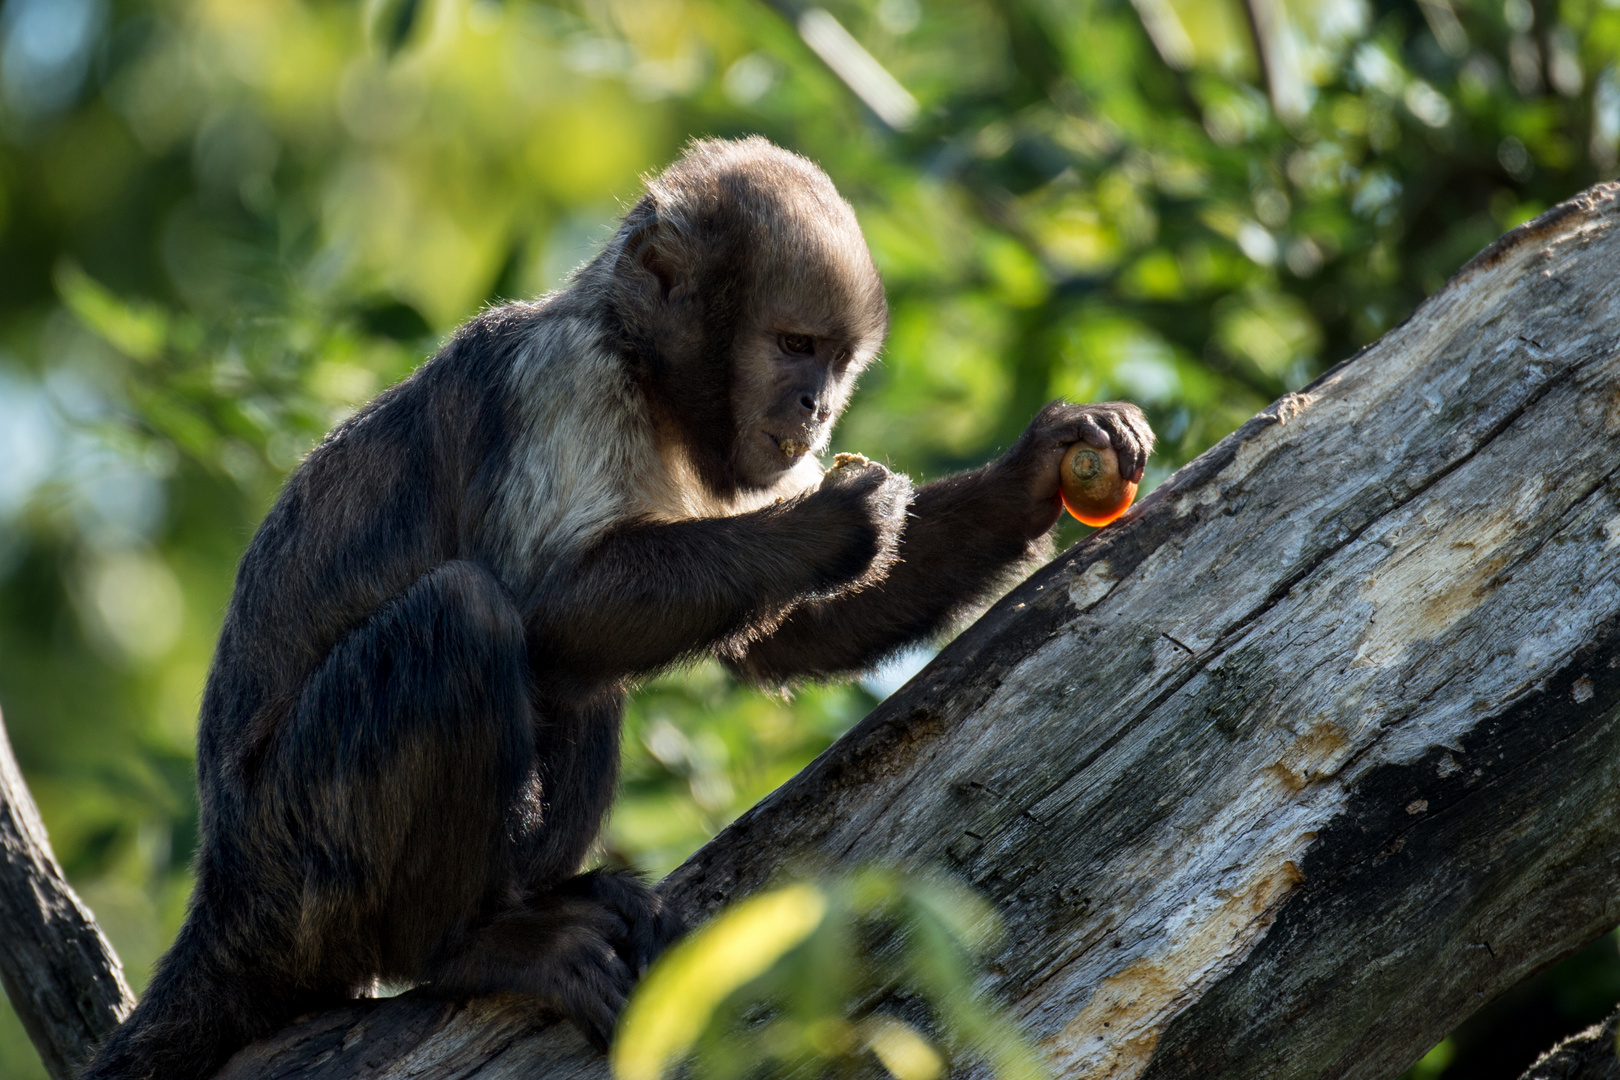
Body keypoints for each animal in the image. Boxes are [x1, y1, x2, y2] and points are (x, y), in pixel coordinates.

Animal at [85, 135, 1153, 1080]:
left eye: (840, 362)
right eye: (794, 346)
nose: (817, 409)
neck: (649, 377)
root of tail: (222, 891)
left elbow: (780, 637)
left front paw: (1037, 472)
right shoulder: (566, 378)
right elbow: (544, 604)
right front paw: (840, 522)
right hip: (297, 862)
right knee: (469, 617)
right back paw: (464, 943)